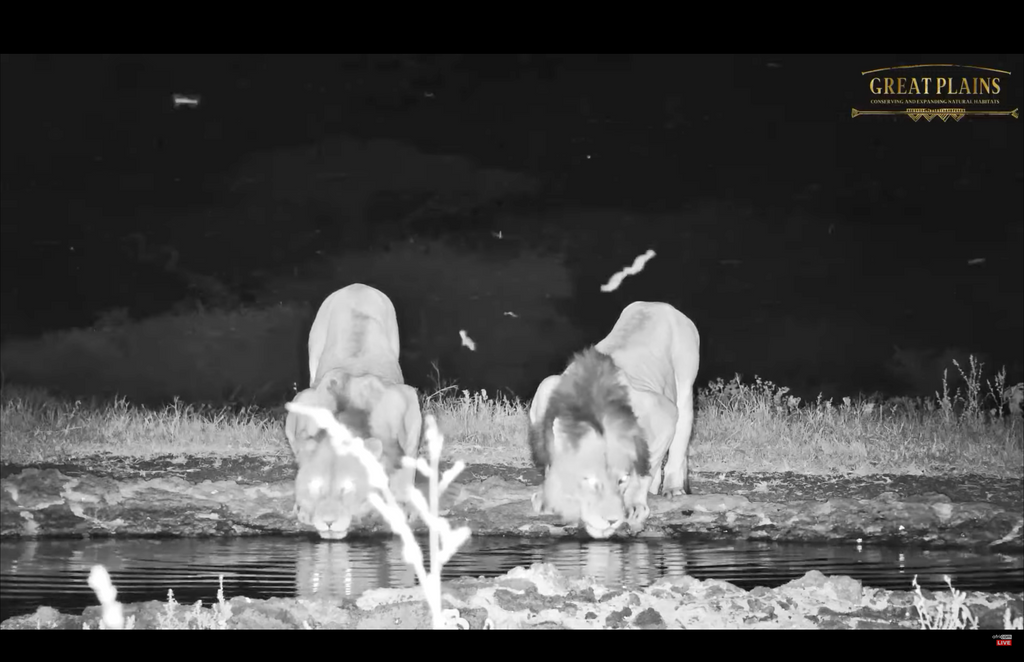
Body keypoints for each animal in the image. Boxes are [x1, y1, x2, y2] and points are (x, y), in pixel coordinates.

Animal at [282, 284, 421, 541]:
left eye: (347, 489)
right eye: (316, 487)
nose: (328, 522)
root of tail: (357, 286)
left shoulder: (408, 401)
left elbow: (408, 463)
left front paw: (403, 506)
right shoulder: (302, 402)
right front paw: (303, 509)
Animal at [524, 301, 700, 541]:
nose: (608, 519)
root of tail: (658, 304)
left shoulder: (665, 414)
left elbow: (645, 466)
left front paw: (635, 505)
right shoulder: (545, 393)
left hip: (684, 386)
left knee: (679, 442)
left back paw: (673, 489)